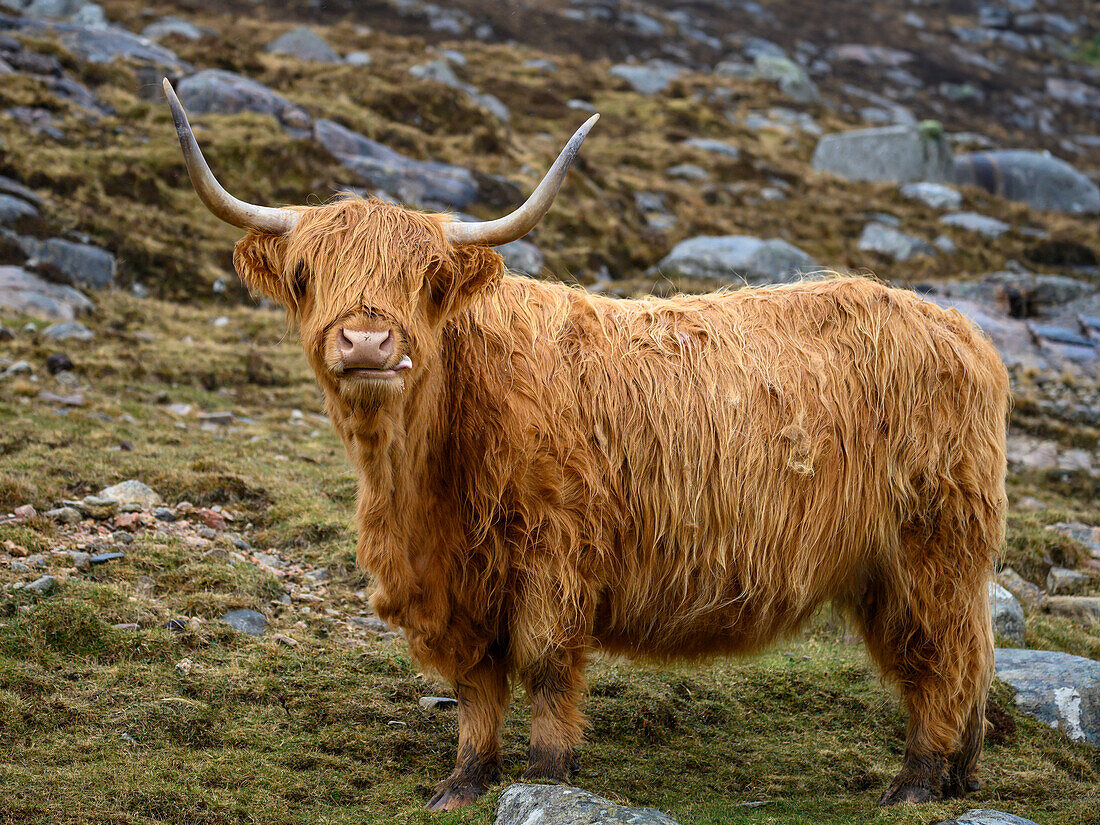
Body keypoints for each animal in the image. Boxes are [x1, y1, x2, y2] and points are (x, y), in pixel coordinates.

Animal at [160, 79, 1007, 814]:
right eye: (306, 273)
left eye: (428, 277)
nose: (368, 342)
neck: (421, 474)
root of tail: (956, 326)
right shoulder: (455, 584)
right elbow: (474, 684)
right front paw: (464, 781)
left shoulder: (554, 555)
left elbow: (542, 666)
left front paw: (548, 773)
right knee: (971, 653)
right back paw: (959, 774)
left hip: (929, 545)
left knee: (945, 655)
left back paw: (918, 781)